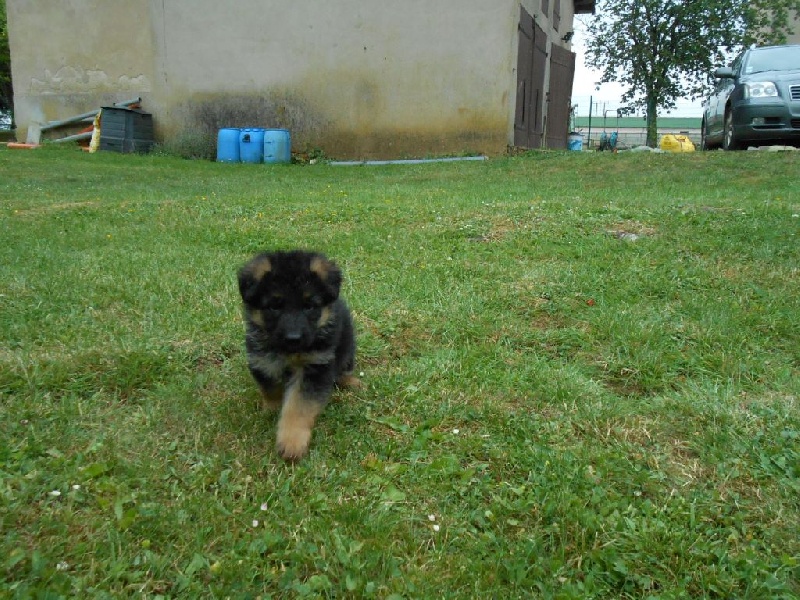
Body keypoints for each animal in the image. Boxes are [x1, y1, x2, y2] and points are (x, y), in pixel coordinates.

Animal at [237, 250, 358, 461]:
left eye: (309, 306)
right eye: (274, 306)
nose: (293, 338)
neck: (290, 353)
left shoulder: (316, 366)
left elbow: (299, 406)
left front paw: (292, 442)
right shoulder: (262, 359)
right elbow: (270, 388)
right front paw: (272, 410)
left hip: (347, 344)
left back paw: (350, 382)